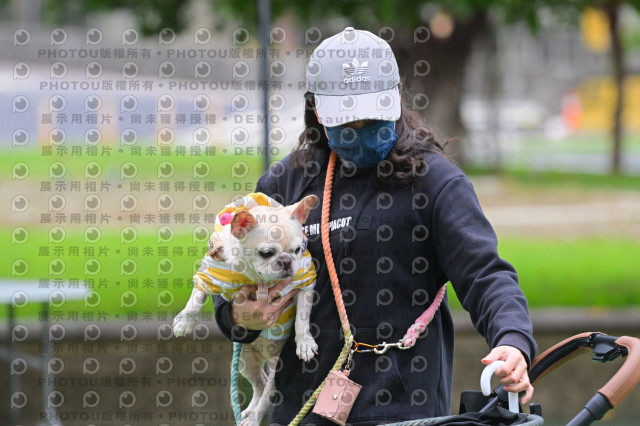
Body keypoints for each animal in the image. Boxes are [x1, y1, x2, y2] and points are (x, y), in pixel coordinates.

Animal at [172, 193, 319, 425]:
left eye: (298, 250)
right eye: (266, 253)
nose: (287, 261)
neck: (254, 276)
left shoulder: (305, 278)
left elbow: (302, 319)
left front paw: (304, 343)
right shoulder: (209, 274)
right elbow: (196, 298)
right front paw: (185, 321)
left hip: (278, 368)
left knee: (268, 392)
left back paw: (253, 417)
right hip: (243, 359)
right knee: (260, 383)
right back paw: (248, 412)